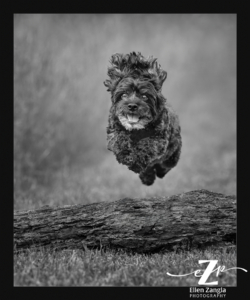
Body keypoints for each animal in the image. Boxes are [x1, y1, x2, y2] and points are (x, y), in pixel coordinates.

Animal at [103, 51, 182, 185]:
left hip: (172, 155)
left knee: (164, 165)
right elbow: (119, 139)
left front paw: (137, 160)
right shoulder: (113, 130)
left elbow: (147, 144)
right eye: (124, 95)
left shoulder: (160, 137)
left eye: (145, 96)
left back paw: (157, 172)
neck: (136, 130)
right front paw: (126, 154)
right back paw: (147, 177)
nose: (132, 105)